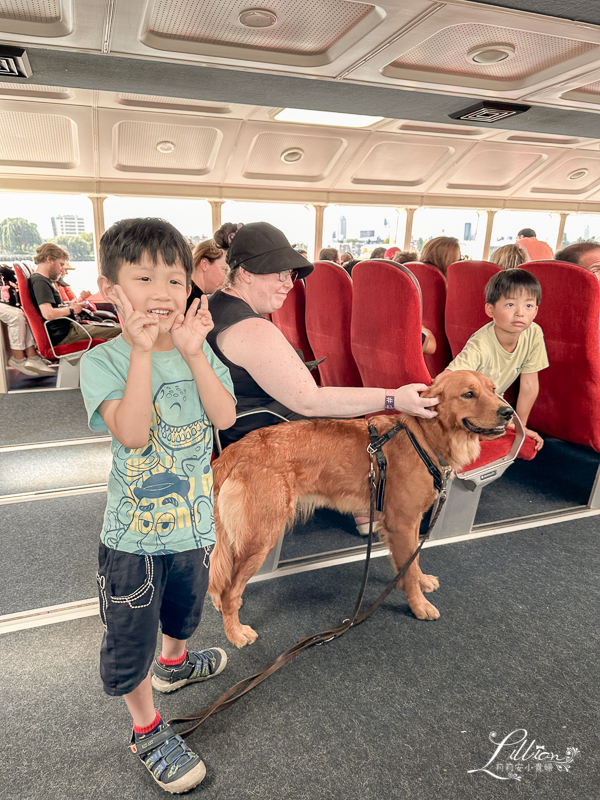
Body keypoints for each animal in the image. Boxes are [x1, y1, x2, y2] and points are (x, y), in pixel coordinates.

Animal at [210, 372, 510, 648]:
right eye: (469, 394)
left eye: (494, 390)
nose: (507, 412)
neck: (423, 437)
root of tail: (235, 450)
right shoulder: (401, 524)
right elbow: (408, 570)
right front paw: (419, 604)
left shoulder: (409, 524)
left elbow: (412, 562)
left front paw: (420, 581)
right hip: (261, 538)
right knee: (229, 590)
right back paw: (235, 632)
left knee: (219, 574)